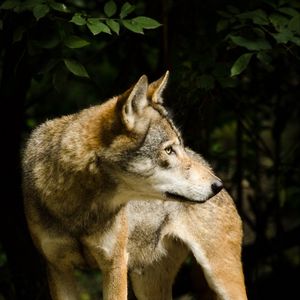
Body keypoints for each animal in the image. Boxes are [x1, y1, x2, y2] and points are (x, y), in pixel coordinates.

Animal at [22, 72, 245, 300]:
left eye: (179, 147)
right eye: (168, 150)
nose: (217, 185)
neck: (79, 209)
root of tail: (207, 162)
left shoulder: (115, 264)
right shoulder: (58, 269)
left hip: (221, 279)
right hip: (145, 285)